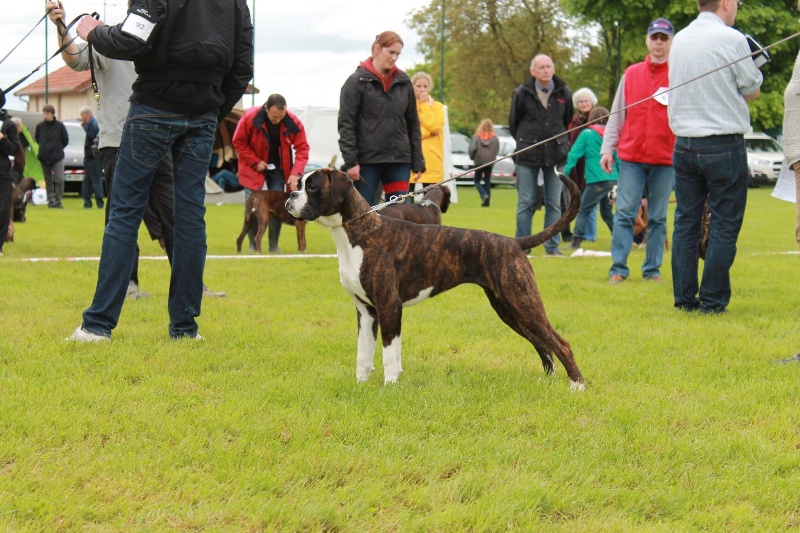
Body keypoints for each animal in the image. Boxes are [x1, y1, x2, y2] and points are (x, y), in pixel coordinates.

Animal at [288, 168, 588, 388]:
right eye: (300, 183)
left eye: (311, 186)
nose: (290, 194)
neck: (359, 232)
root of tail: (514, 242)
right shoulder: (366, 312)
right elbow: (363, 354)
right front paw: (360, 386)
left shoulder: (388, 306)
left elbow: (389, 353)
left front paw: (390, 387)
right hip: (509, 308)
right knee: (542, 343)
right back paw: (548, 380)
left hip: (523, 303)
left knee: (560, 343)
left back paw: (578, 386)